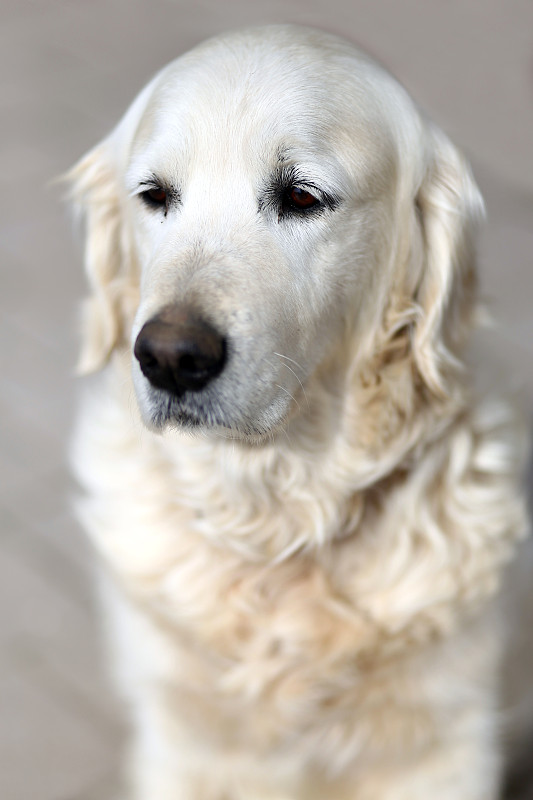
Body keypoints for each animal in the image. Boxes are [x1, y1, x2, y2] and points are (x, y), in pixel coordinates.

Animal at [69, 25, 528, 800]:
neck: (277, 524)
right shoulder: (182, 740)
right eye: (153, 195)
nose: (169, 357)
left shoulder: (442, 747)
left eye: (301, 196)